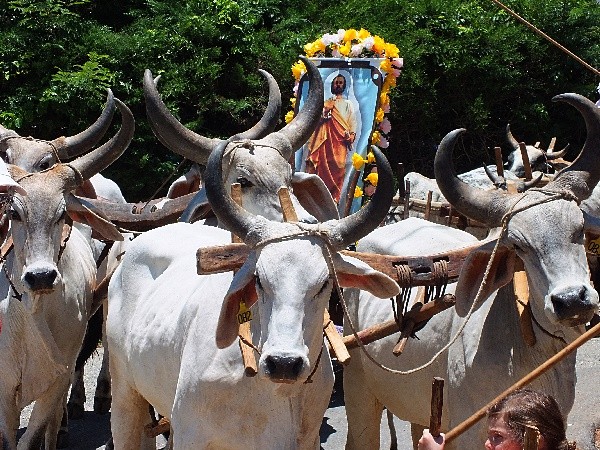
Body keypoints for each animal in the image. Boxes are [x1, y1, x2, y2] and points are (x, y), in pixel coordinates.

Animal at [0, 99, 132, 450]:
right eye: (14, 212)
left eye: (62, 214)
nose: (41, 277)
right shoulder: (4, 387)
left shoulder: (53, 384)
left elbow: (33, 435)